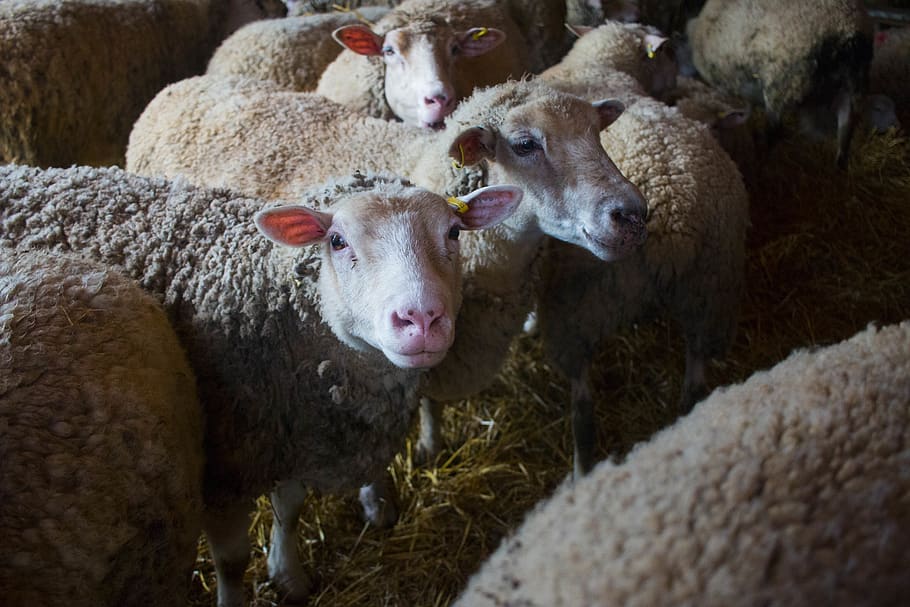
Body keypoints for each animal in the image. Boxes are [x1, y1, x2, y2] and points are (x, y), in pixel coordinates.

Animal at [686, 0, 874, 168]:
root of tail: (848, 32)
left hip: (781, 83)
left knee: (775, 130)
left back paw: (762, 160)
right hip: (853, 88)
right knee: (845, 132)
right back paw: (839, 167)